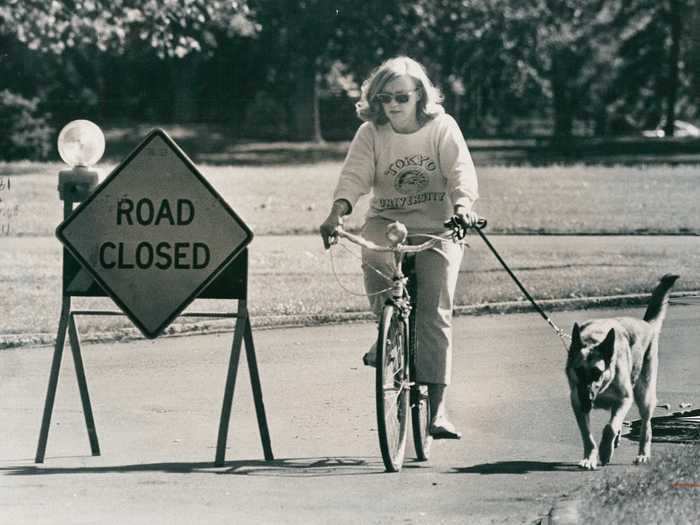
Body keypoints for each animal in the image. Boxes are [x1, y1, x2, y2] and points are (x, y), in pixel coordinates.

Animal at [568, 272, 680, 468]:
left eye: (597, 373)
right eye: (578, 371)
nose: (586, 401)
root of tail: (646, 324)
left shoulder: (624, 400)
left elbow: (609, 427)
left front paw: (605, 451)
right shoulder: (577, 404)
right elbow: (587, 436)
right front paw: (590, 457)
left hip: (644, 396)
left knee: (645, 426)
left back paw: (643, 453)